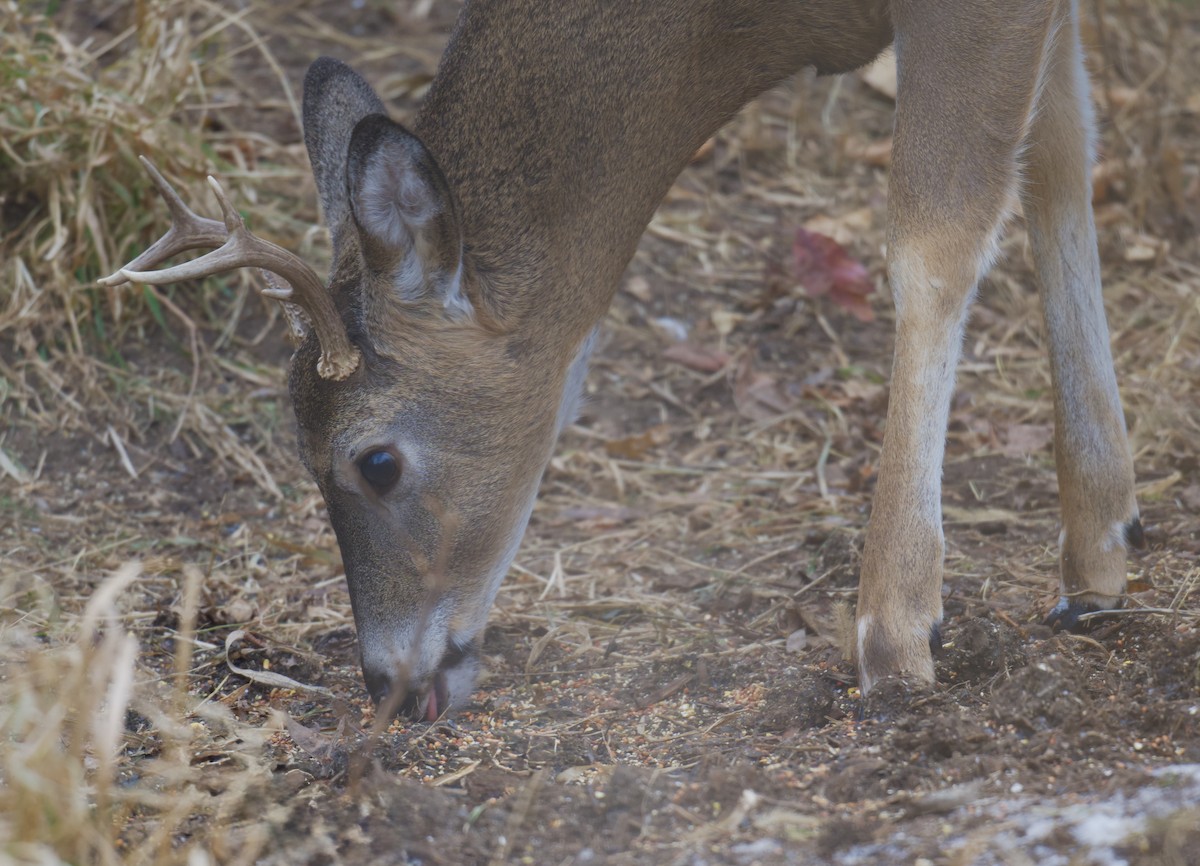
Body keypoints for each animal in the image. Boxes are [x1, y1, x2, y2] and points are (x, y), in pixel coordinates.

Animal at [102, 0, 1143, 720]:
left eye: (377, 460)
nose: (385, 681)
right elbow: (1063, 151)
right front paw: (1100, 550)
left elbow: (937, 232)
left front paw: (896, 632)